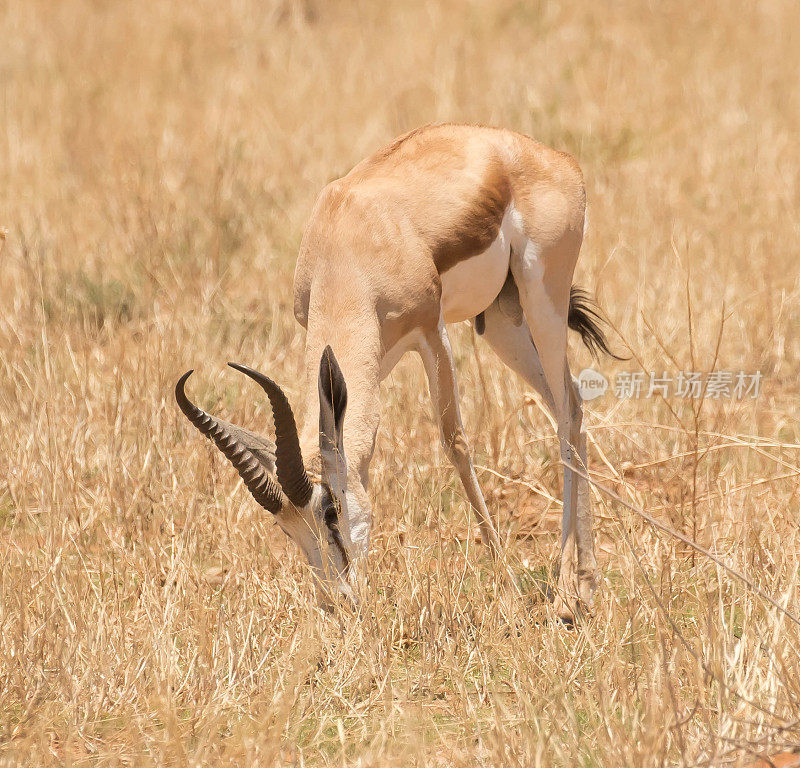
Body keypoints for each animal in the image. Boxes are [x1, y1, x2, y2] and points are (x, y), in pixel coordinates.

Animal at [178, 124, 620, 616]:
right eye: (285, 528)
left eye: (329, 511)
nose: (336, 604)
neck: (349, 241)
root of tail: (554, 158)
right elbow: (361, 453)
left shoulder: (431, 332)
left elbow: (455, 441)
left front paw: (506, 584)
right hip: (503, 319)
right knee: (571, 405)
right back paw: (582, 587)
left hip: (543, 299)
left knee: (566, 409)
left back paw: (567, 596)